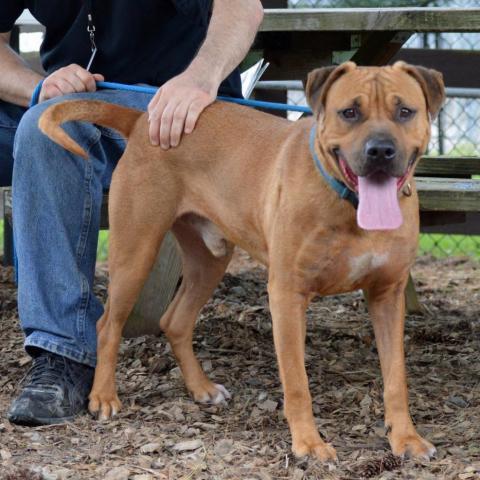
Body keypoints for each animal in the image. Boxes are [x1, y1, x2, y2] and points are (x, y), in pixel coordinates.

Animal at [39, 62, 444, 460]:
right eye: (350, 112)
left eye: (405, 111)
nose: (381, 151)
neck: (350, 204)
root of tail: (142, 121)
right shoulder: (287, 295)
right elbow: (297, 381)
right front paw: (308, 443)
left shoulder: (387, 296)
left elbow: (396, 378)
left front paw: (405, 438)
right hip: (136, 251)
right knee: (108, 325)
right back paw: (103, 397)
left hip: (209, 261)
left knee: (175, 321)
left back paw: (201, 388)